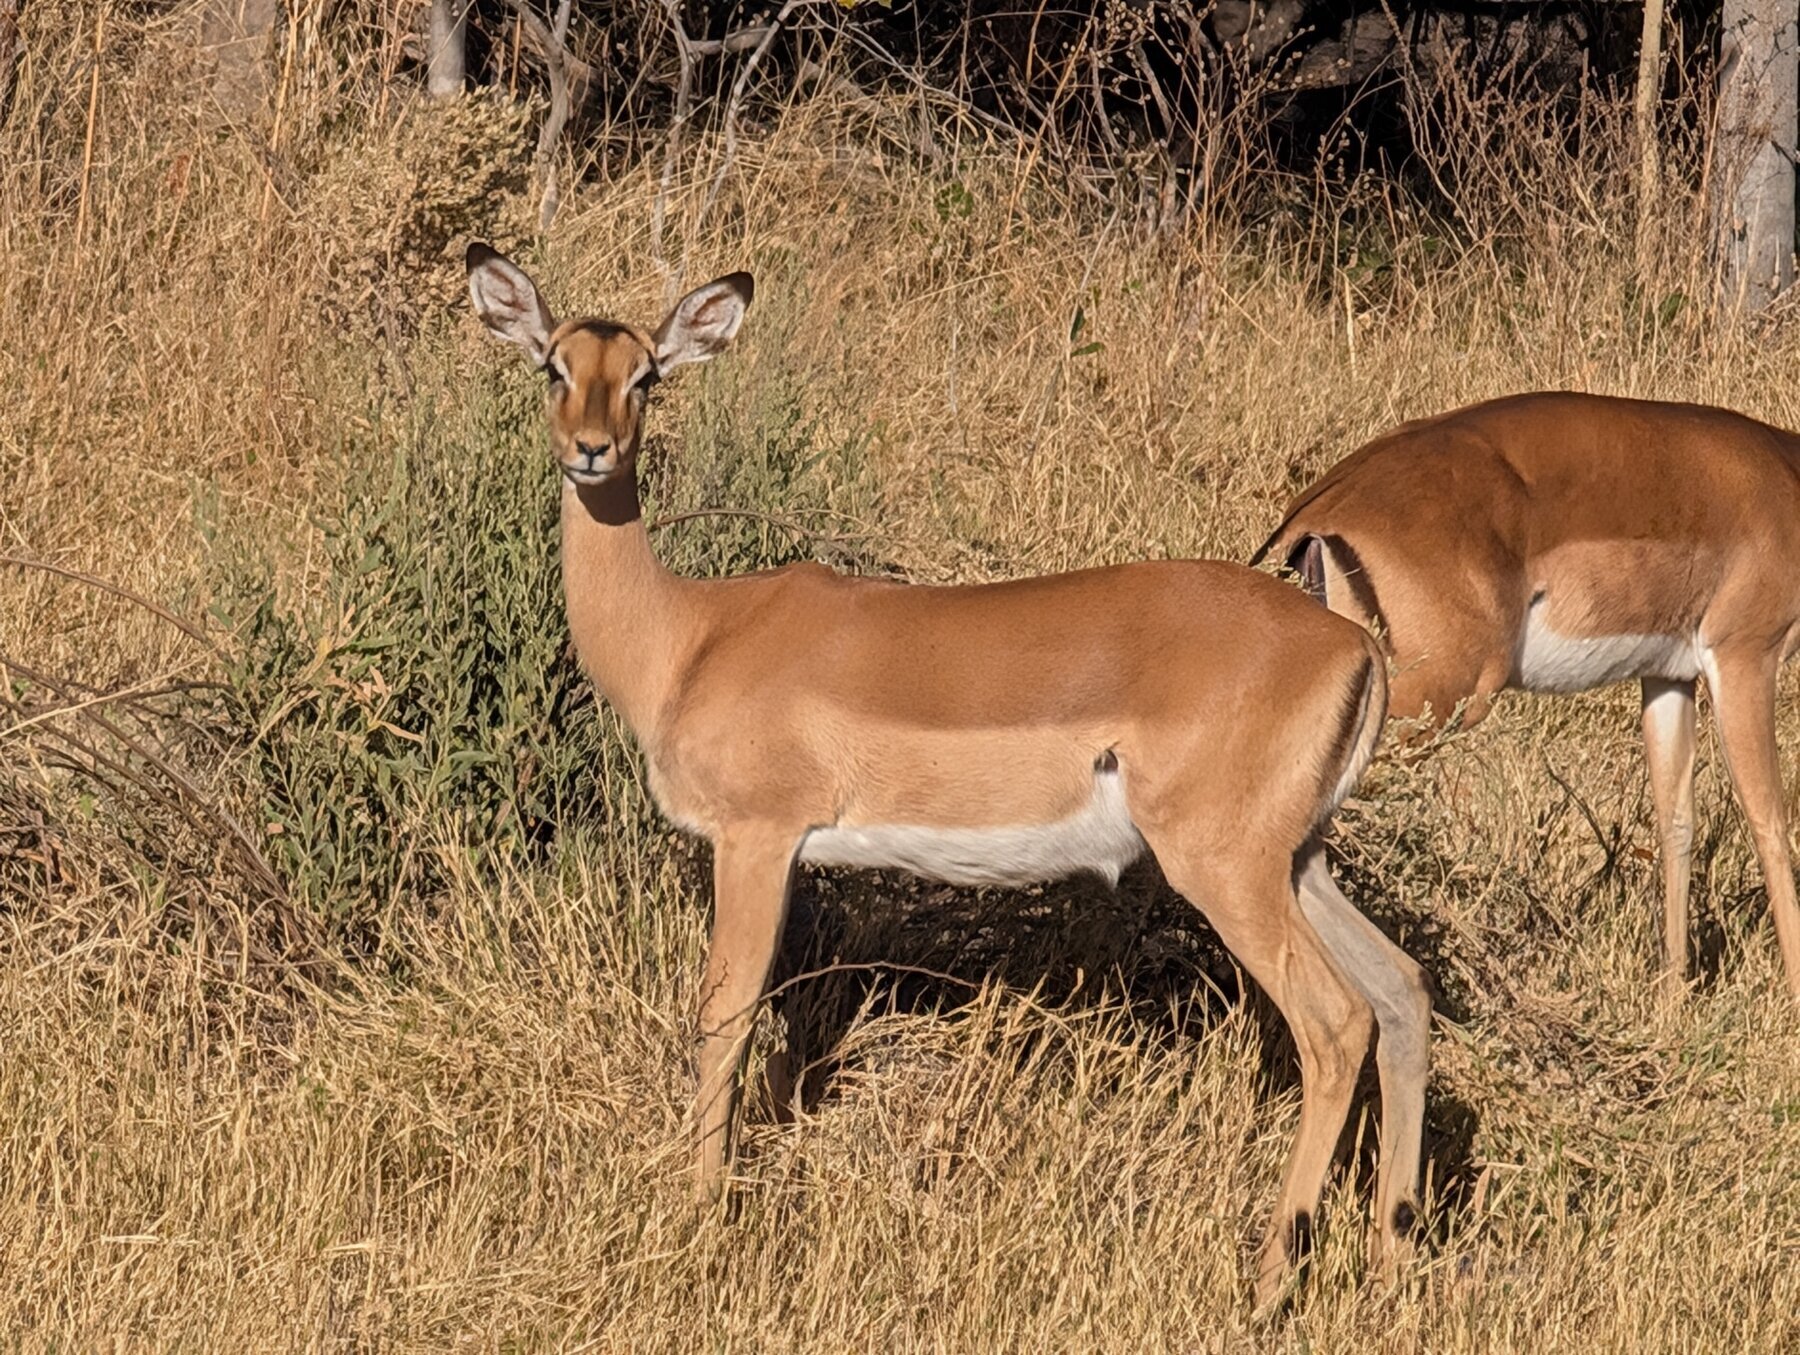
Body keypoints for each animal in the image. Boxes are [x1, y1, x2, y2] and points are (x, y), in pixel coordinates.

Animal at [466, 242, 1431, 1301]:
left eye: (646, 374)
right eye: (553, 365)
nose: (591, 449)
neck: (690, 638)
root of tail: (1354, 644)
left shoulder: (756, 839)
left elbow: (724, 1015)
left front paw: (698, 1215)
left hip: (1227, 867)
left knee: (1335, 1021)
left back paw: (1268, 1274)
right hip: (1299, 860)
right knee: (1403, 990)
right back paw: (1390, 1260)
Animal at [1253, 391, 1800, 1004]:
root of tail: (1314, 513)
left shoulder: (1668, 676)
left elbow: (1676, 822)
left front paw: (1671, 999)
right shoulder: (1746, 654)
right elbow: (1771, 825)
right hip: (1428, 705)